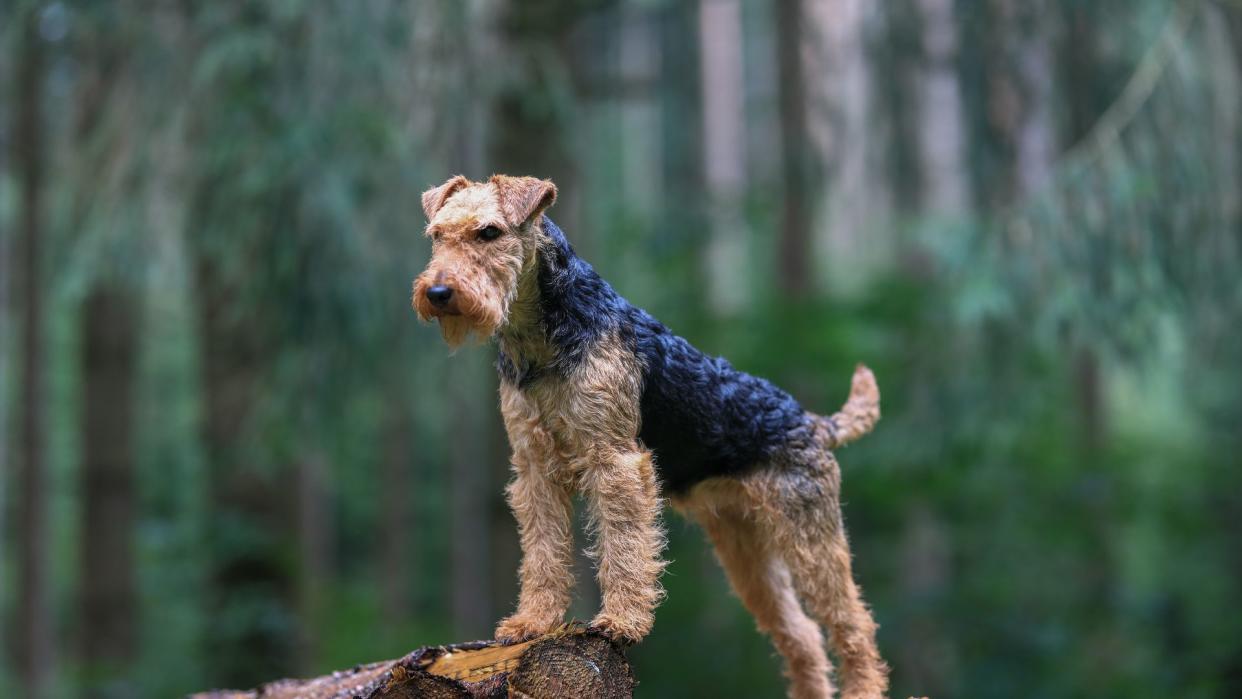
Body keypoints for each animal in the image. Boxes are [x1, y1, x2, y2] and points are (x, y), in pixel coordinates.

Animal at [412, 172, 889, 695]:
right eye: (437, 235)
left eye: (489, 232)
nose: (438, 292)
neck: (541, 338)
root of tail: (810, 422)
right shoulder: (534, 470)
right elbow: (542, 554)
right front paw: (532, 623)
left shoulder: (615, 461)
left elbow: (623, 547)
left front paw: (620, 622)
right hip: (746, 552)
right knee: (801, 635)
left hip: (809, 539)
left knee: (853, 626)